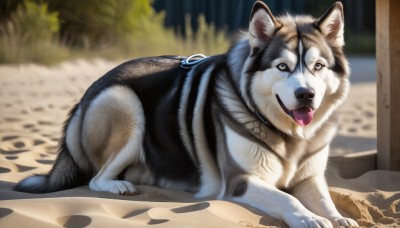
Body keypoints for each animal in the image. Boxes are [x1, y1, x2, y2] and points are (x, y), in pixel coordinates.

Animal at [15, 1, 360, 228]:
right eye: (283, 67)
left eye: (318, 66)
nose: (306, 95)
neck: (289, 134)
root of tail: (87, 94)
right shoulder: (241, 181)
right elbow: (287, 198)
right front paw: (308, 218)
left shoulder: (310, 177)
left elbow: (323, 198)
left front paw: (338, 217)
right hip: (125, 104)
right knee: (96, 179)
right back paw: (118, 186)